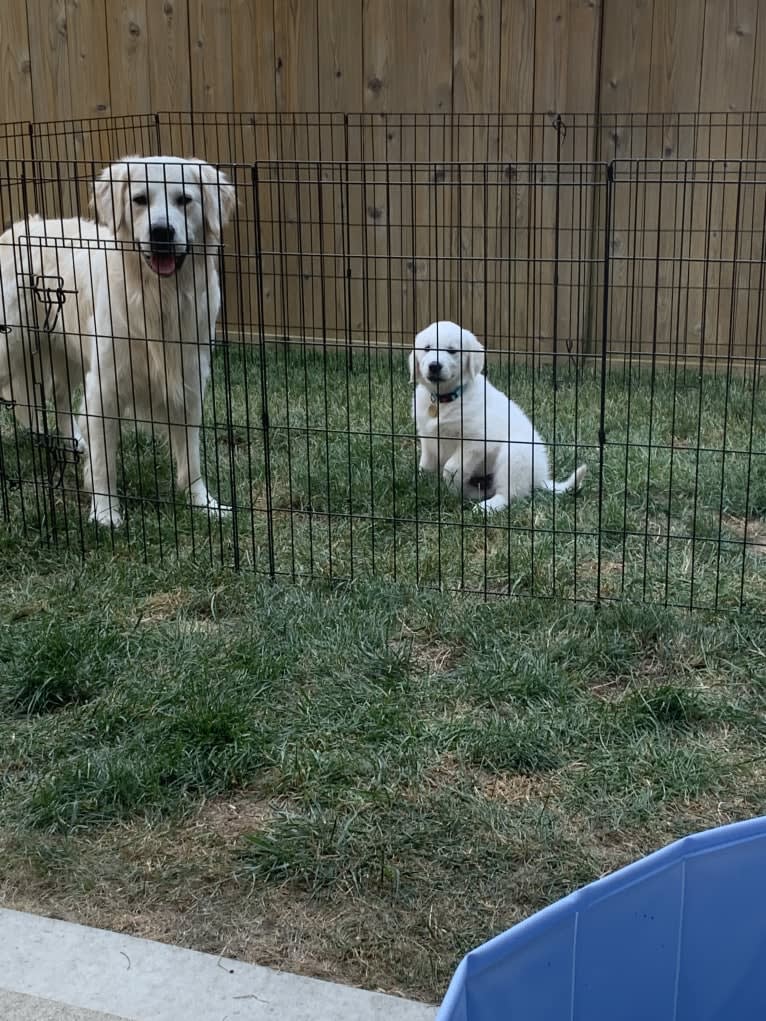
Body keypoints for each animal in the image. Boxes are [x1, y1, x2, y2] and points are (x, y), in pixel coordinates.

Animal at [410, 320, 584, 514]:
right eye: (426, 348)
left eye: (452, 350)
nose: (434, 365)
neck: (445, 399)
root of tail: (540, 477)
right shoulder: (427, 436)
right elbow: (425, 464)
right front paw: (421, 484)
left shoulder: (478, 441)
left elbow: (451, 467)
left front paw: (451, 489)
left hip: (514, 454)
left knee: (508, 494)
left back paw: (486, 506)